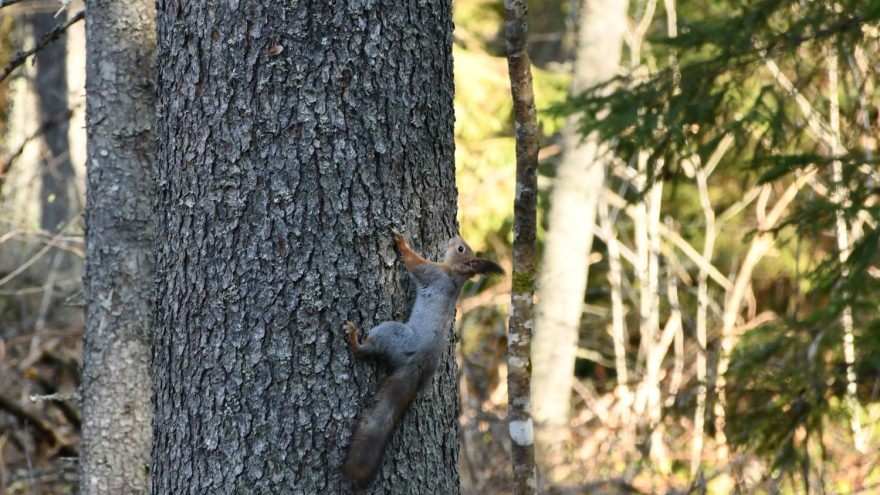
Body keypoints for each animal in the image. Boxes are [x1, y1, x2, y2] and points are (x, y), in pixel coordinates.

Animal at [342, 230, 503, 485]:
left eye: (461, 249)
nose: (454, 237)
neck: (454, 275)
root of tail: (419, 366)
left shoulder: (431, 273)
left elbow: (413, 262)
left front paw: (401, 241)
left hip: (393, 334)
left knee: (368, 348)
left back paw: (354, 338)